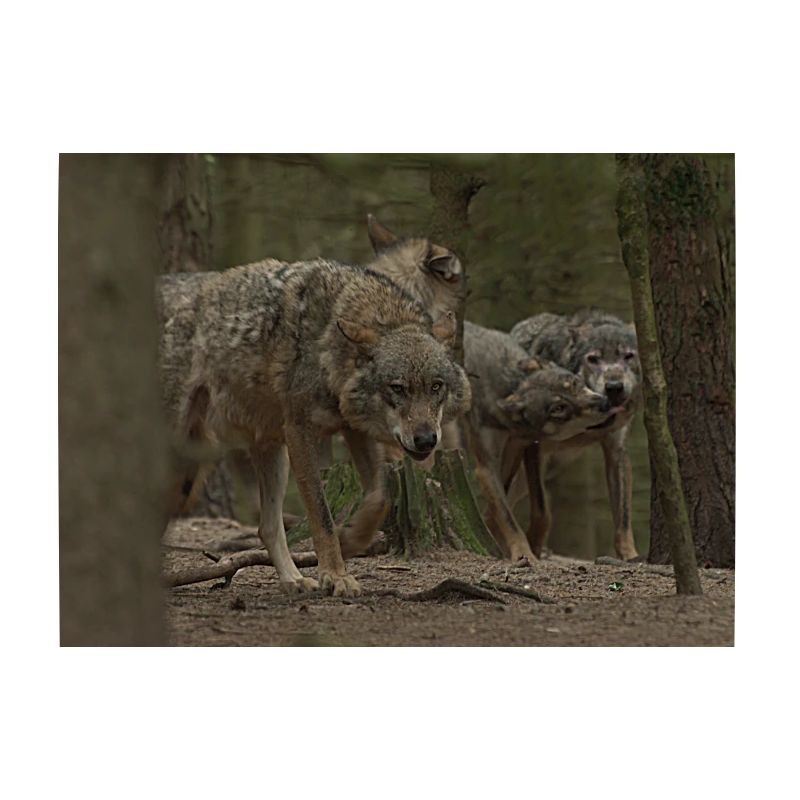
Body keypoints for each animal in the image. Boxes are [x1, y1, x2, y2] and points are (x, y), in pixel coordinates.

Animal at [160, 258, 470, 596]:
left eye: (436, 387)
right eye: (397, 388)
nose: (426, 440)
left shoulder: (354, 431)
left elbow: (380, 499)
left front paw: (351, 540)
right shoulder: (300, 433)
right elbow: (322, 517)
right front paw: (335, 575)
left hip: (260, 457)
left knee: (267, 527)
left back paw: (293, 580)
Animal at [461, 321, 613, 563]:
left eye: (575, 384)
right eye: (559, 408)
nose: (605, 403)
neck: (511, 387)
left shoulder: (527, 447)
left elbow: (541, 509)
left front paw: (533, 544)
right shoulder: (485, 467)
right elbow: (507, 516)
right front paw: (523, 553)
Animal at [505, 310, 642, 560]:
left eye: (628, 356)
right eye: (593, 359)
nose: (614, 387)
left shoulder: (616, 451)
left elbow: (624, 518)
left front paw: (629, 556)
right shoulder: (535, 448)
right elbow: (543, 511)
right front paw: (534, 548)